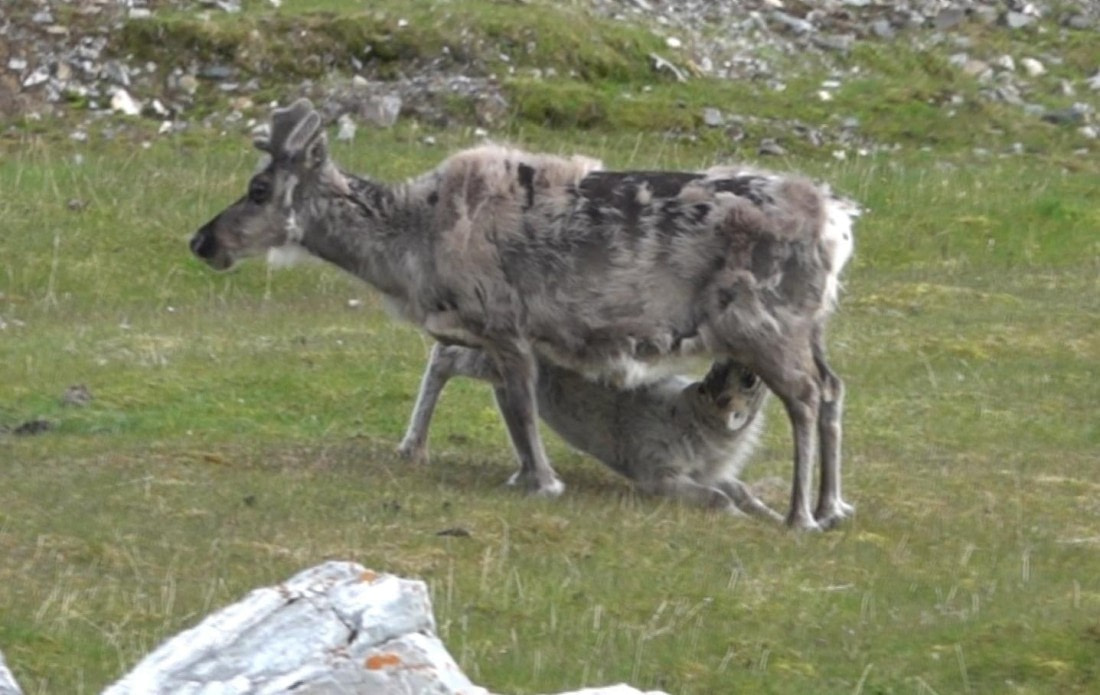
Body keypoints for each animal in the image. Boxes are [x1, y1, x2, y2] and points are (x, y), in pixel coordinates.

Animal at [399, 346, 782, 521]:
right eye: (745, 379)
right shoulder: (658, 472)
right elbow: (718, 498)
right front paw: (741, 519)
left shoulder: (708, 472)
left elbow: (742, 490)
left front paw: (780, 520)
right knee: (444, 359)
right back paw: (414, 448)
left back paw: (528, 471)